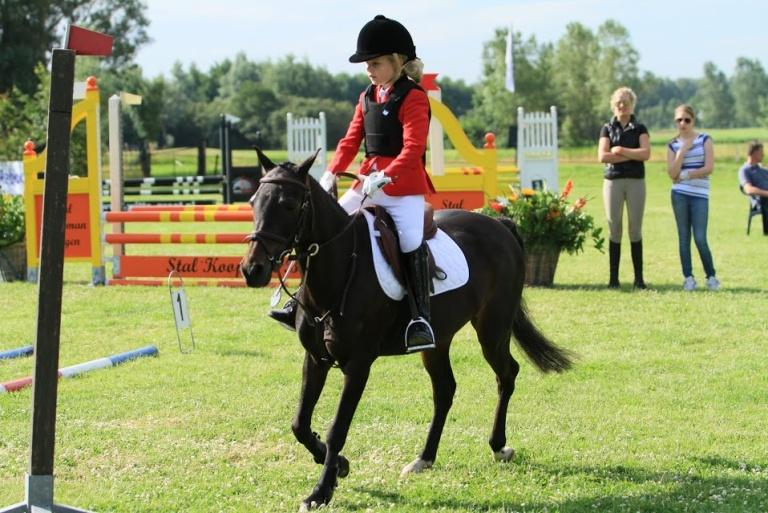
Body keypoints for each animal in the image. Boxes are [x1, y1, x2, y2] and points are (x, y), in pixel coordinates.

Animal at [240, 150, 568, 510]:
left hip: (492, 328)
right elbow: (299, 423)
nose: (252, 270)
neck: (340, 268)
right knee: (445, 389)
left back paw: (498, 445)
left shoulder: (358, 365)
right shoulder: (315, 358)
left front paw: (321, 491)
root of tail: (500, 225)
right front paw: (339, 464)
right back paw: (424, 458)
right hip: (439, 341)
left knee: (506, 374)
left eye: (287, 204)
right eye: (254, 201)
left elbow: (337, 428)